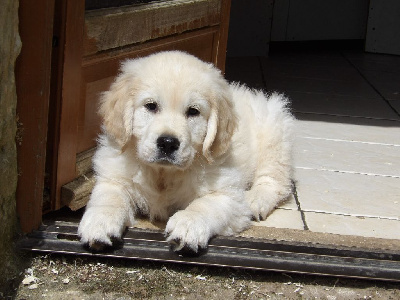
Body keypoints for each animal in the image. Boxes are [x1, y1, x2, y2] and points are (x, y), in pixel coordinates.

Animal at [77, 50, 294, 252]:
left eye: (193, 111)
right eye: (151, 106)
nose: (167, 143)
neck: (163, 174)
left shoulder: (228, 196)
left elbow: (205, 205)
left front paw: (188, 224)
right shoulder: (114, 177)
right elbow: (109, 198)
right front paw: (100, 222)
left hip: (275, 134)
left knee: (275, 181)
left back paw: (256, 200)